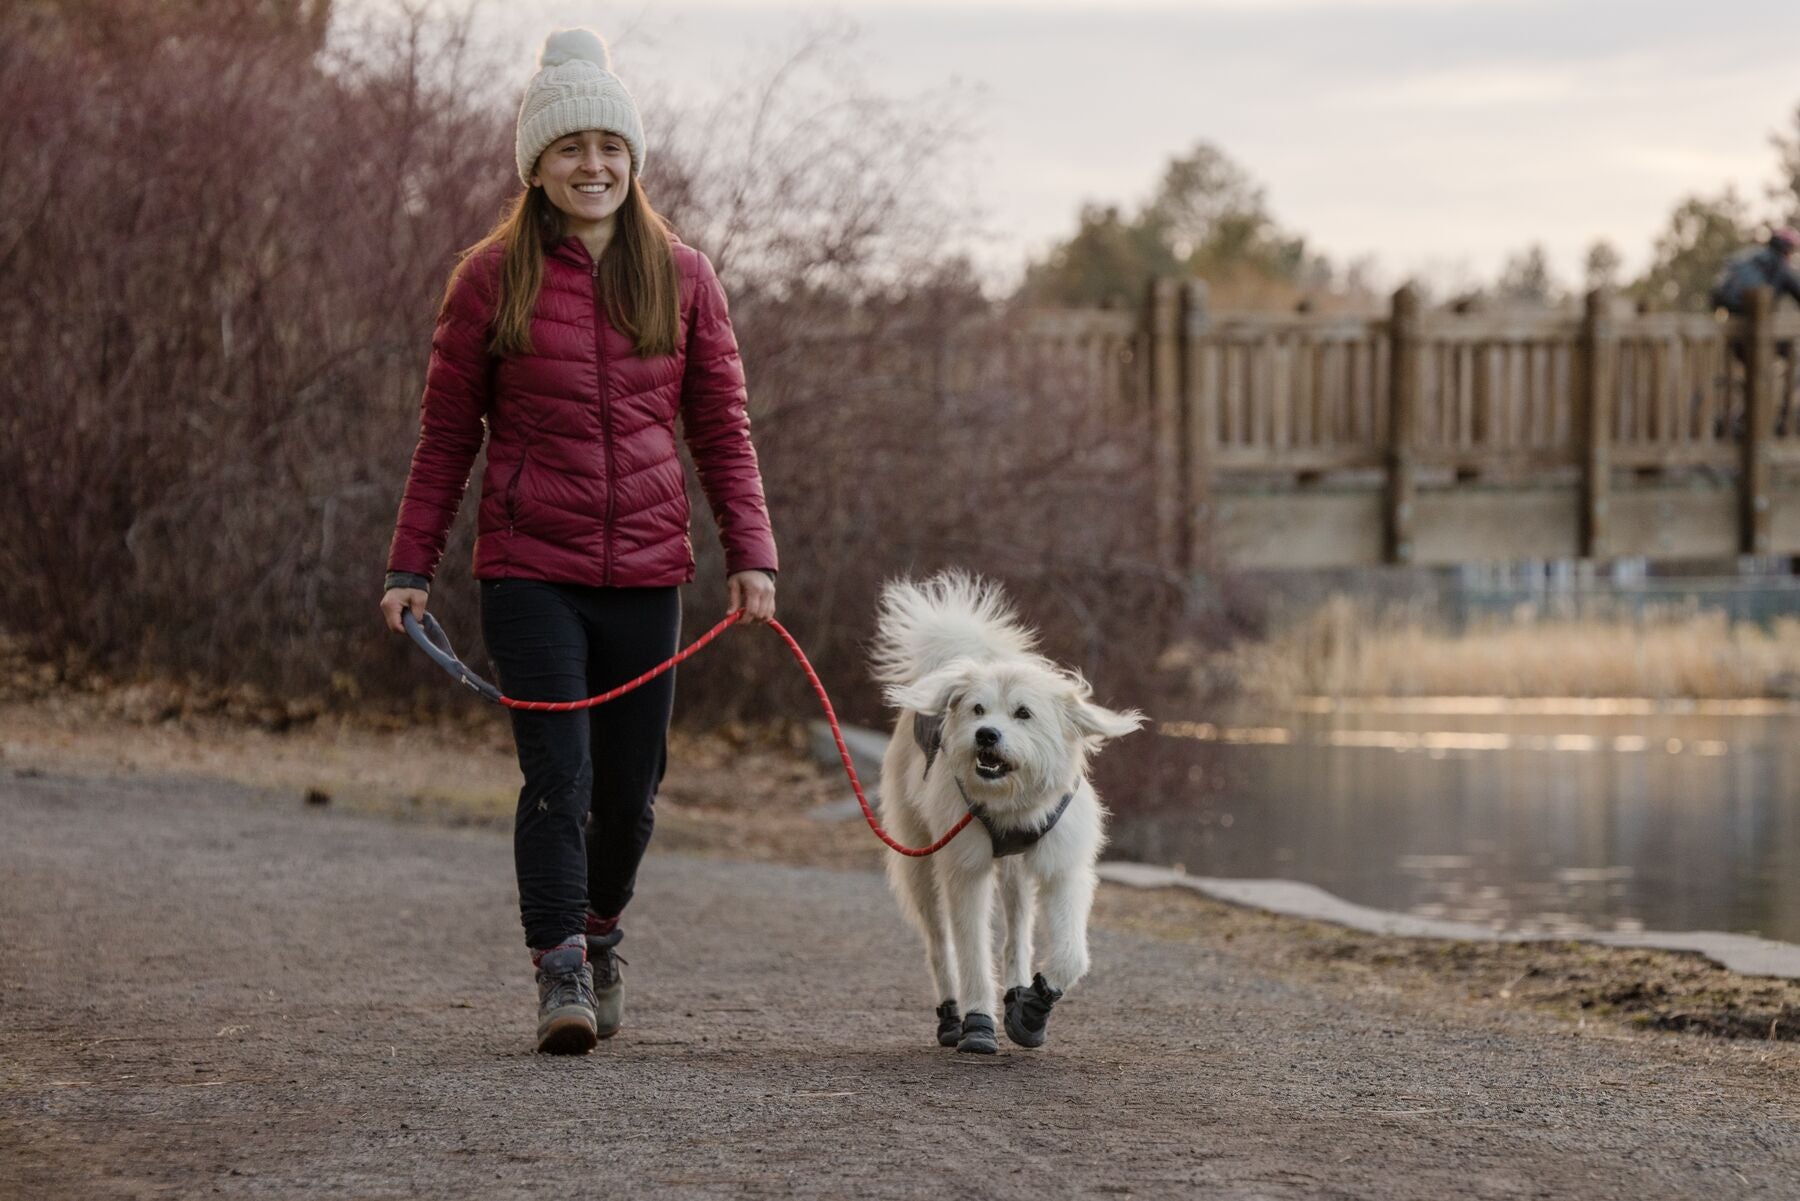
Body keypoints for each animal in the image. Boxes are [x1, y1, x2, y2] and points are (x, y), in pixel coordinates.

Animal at [867, 572, 1137, 1051]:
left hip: (1015, 874)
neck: (1012, 804)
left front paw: (1033, 1008)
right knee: (939, 944)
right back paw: (950, 1017)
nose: (986, 735)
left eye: (1023, 713)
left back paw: (1016, 994)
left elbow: (1071, 954)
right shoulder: (965, 870)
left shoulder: (1063, 869)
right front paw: (978, 1022)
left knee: (1017, 934)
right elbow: (972, 952)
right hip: (919, 862)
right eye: (978, 709)